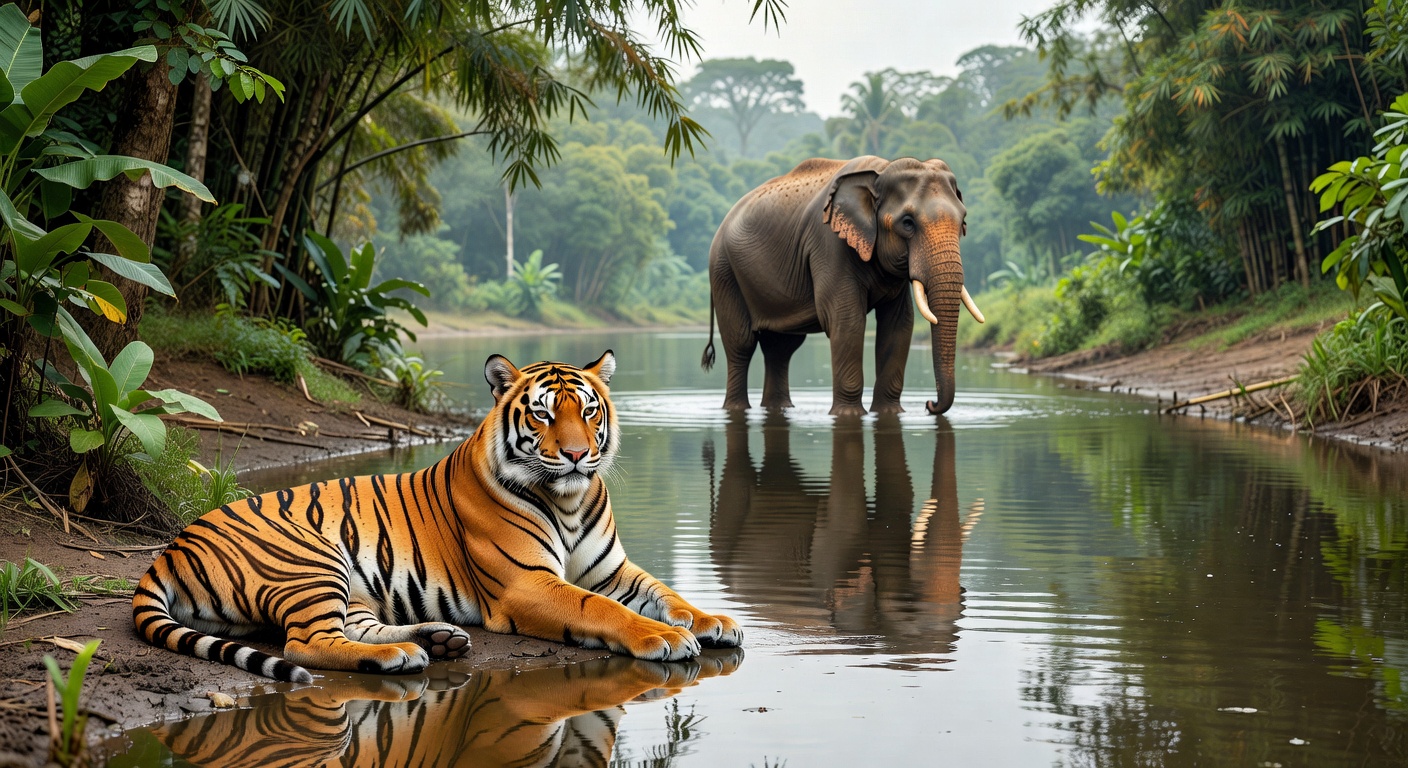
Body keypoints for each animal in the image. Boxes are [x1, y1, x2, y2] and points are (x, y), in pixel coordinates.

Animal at [132, 351, 742, 682]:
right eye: (544, 414)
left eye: (589, 411)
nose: (575, 455)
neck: (568, 499)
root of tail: (174, 545)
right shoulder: (528, 584)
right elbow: (600, 609)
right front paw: (662, 636)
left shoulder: (612, 570)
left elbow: (665, 592)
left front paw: (711, 621)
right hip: (311, 560)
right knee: (307, 643)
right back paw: (403, 654)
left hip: (350, 587)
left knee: (353, 626)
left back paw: (438, 639)